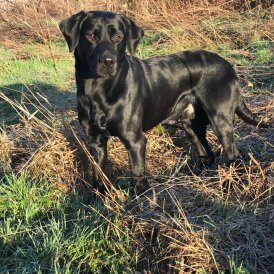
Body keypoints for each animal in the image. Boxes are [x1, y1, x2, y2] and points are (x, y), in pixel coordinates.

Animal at [58, 11, 266, 193]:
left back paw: (232, 185)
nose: (107, 61)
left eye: (118, 36)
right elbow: (98, 178)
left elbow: (138, 180)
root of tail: (229, 66)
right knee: (206, 153)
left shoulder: (135, 141)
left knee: (234, 156)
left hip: (220, 121)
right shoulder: (95, 142)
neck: (98, 89)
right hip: (190, 124)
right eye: (90, 36)